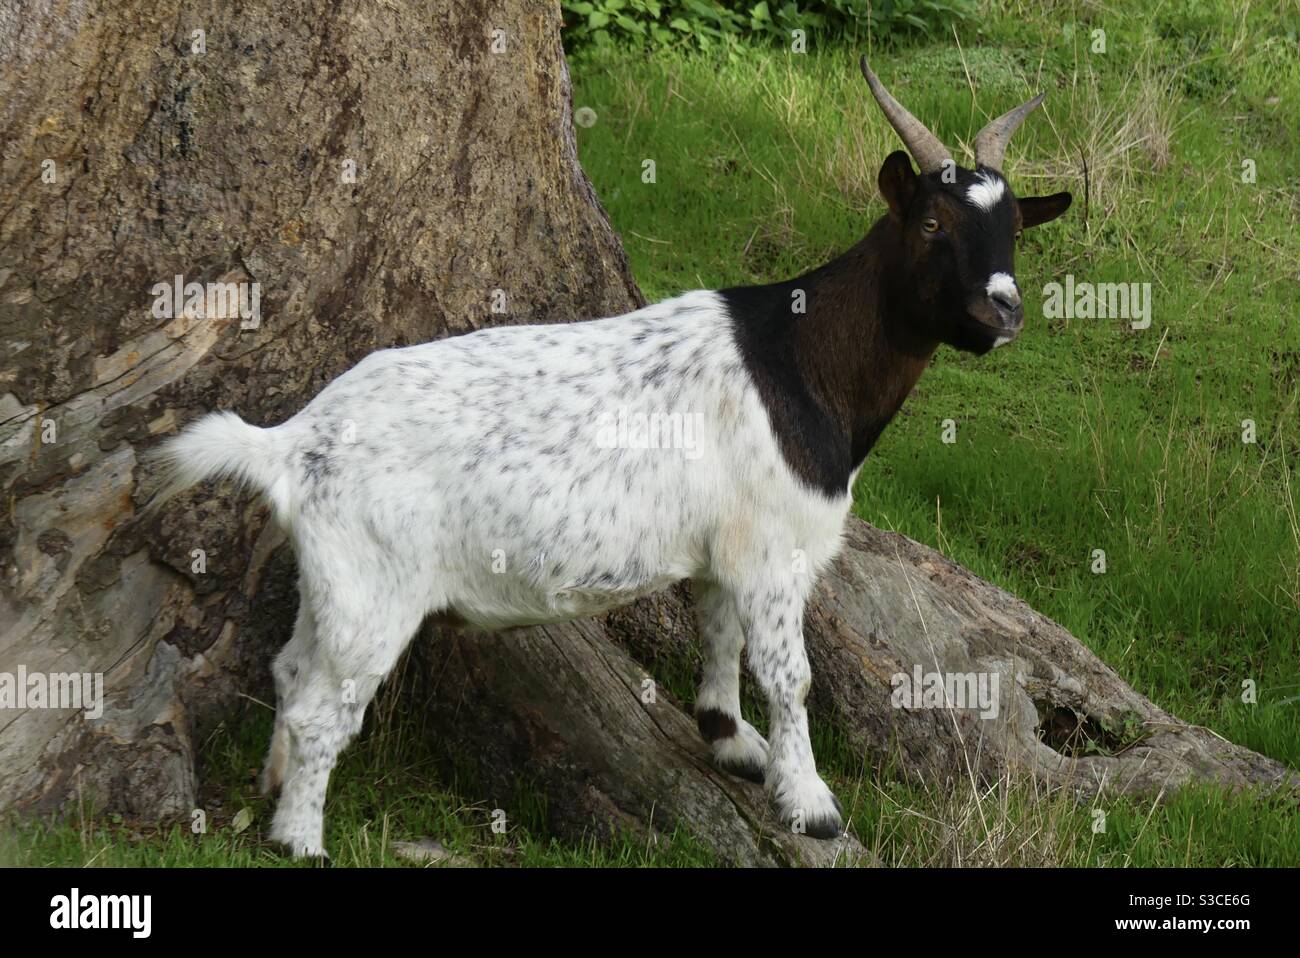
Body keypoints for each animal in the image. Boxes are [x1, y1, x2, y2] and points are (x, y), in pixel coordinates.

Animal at [152, 57, 1071, 858]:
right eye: (931, 222)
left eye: (1015, 231)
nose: (1003, 311)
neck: (800, 360)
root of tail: (293, 440)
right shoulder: (775, 549)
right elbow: (790, 673)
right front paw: (810, 804)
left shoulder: (725, 545)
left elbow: (718, 633)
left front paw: (730, 742)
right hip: (377, 586)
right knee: (323, 709)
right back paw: (300, 841)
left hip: (333, 582)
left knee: (290, 669)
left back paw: (275, 790)